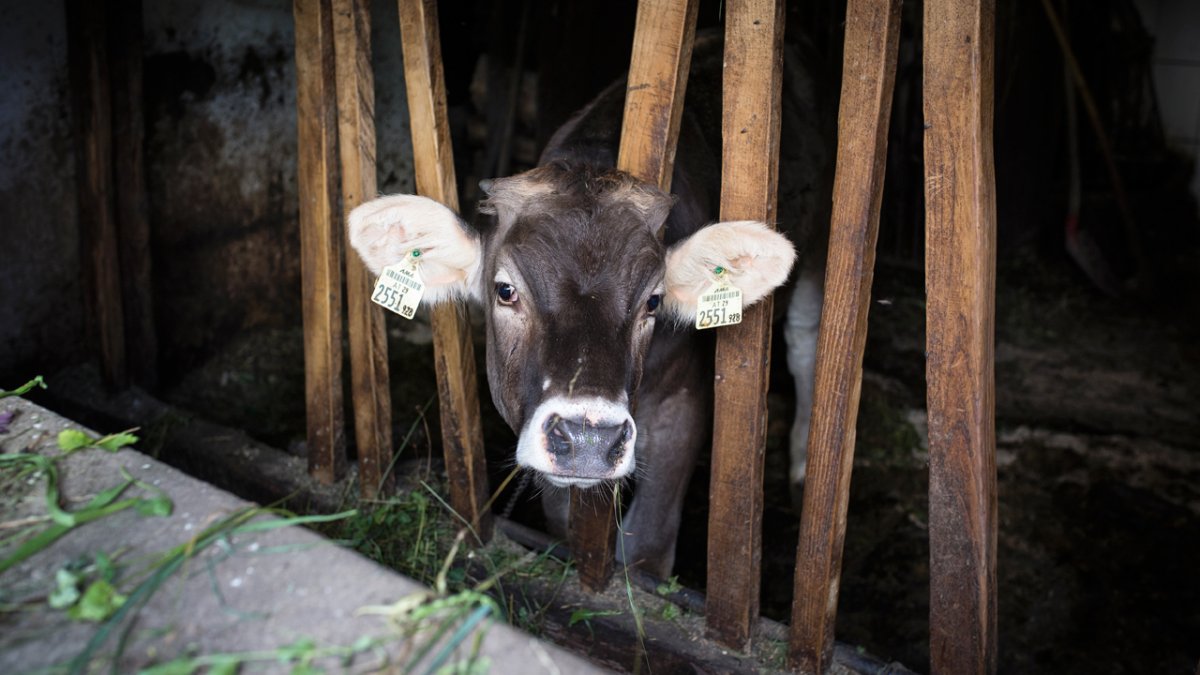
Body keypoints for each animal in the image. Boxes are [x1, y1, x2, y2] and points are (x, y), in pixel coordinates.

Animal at [348, 34, 825, 576]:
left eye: (654, 301)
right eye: (505, 290)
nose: (589, 438)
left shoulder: (684, 404)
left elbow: (647, 546)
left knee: (804, 337)